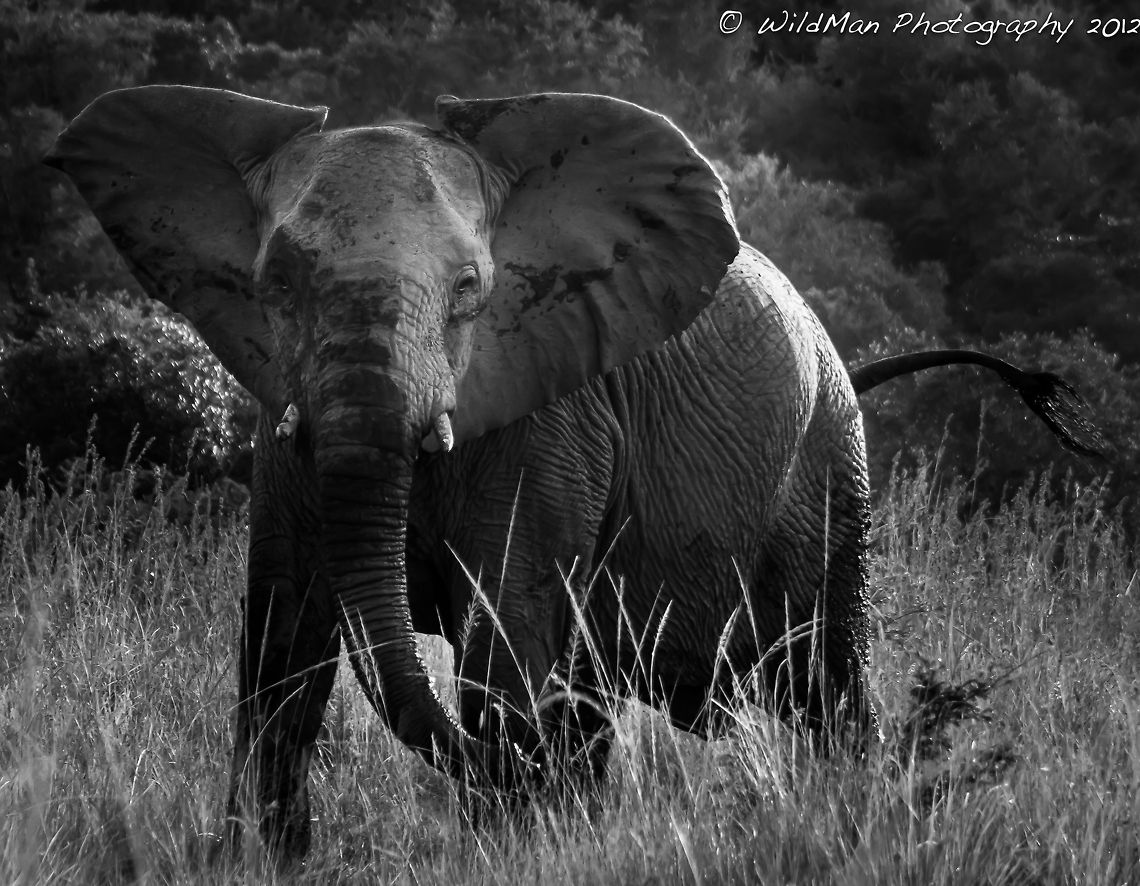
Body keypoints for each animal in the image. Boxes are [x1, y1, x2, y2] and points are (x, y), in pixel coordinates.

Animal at [46, 86, 1104, 861]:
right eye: (273, 286)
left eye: (470, 291)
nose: (507, 762)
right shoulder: (285, 423)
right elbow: (280, 644)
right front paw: (261, 862)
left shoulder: (555, 420)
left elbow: (502, 634)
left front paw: (512, 830)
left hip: (830, 465)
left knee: (825, 681)